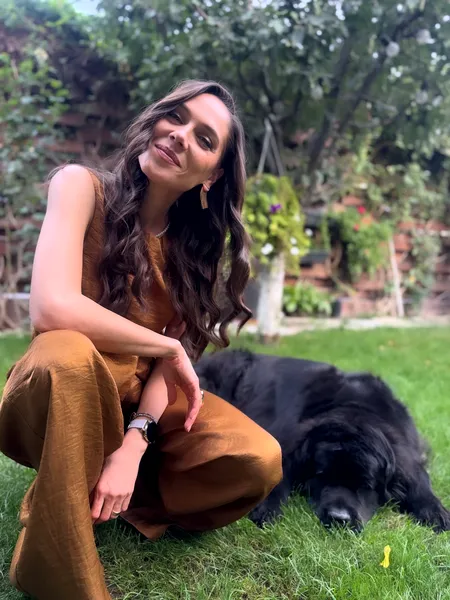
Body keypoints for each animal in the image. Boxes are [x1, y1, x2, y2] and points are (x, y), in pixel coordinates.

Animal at [194, 350, 450, 532]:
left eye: (365, 484)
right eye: (321, 475)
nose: (339, 518)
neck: (355, 410)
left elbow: (419, 479)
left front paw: (435, 510)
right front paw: (266, 508)